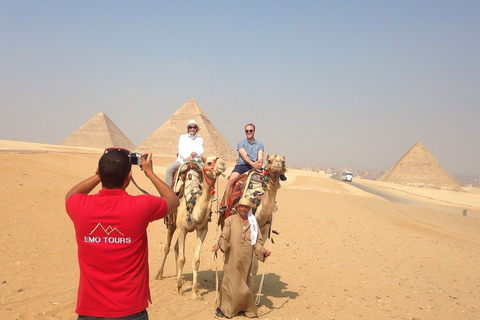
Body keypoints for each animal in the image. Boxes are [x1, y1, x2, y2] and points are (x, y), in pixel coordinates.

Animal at [155, 156, 228, 298]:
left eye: (220, 159)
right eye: (209, 162)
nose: (223, 164)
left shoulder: (202, 230)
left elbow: (196, 261)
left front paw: (195, 292)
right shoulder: (182, 229)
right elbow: (182, 259)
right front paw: (178, 289)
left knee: (176, 248)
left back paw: (179, 277)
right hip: (173, 224)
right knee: (167, 247)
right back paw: (159, 274)